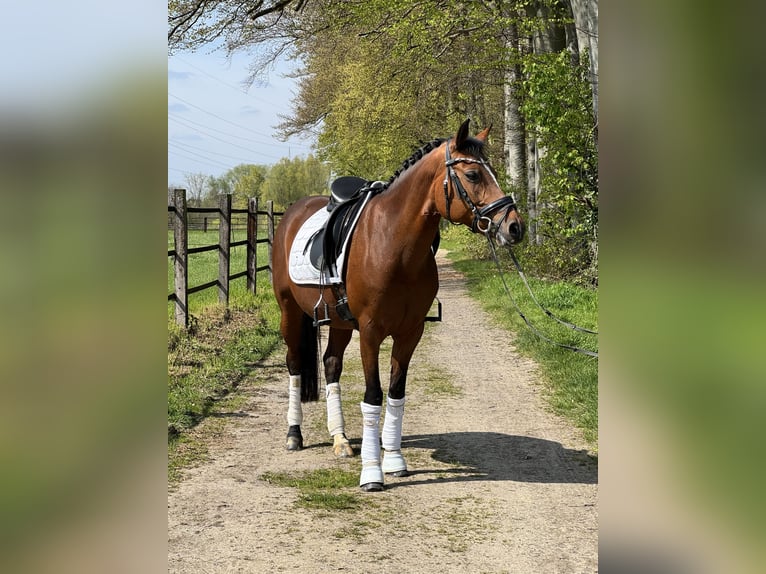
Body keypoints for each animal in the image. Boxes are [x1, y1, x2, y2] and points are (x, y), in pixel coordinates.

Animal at [271, 119, 524, 491]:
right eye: (474, 175)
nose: (514, 226)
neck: (393, 244)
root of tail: (292, 212)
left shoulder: (410, 333)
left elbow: (395, 393)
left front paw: (392, 460)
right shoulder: (370, 332)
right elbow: (373, 396)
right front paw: (372, 473)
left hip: (340, 322)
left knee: (331, 364)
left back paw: (340, 439)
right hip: (290, 311)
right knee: (294, 365)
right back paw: (294, 434)